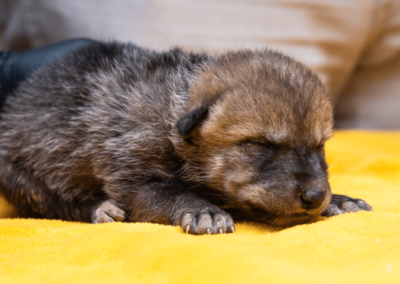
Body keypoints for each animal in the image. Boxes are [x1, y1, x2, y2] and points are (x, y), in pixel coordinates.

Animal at [0, 41, 372, 233]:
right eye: (261, 145)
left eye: (320, 145)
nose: (314, 196)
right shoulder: (132, 174)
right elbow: (168, 193)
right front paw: (202, 209)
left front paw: (339, 199)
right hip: (19, 171)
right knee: (50, 198)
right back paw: (99, 208)